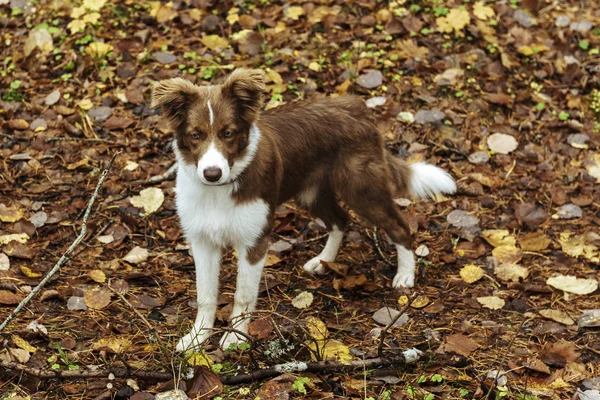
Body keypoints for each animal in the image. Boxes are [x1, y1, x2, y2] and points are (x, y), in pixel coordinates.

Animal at [151, 70, 454, 352]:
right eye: (195, 135)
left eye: (228, 133)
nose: (212, 174)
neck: (219, 192)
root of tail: (355, 107)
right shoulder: (202, 241)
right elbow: (205, 295)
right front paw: (197, 338)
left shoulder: (255, 242)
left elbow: (243, 295)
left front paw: (235, 339)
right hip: (310, 193)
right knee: (340, 220)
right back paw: (323, 261)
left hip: (361, 189)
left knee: (398, 226)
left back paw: (405, 275)